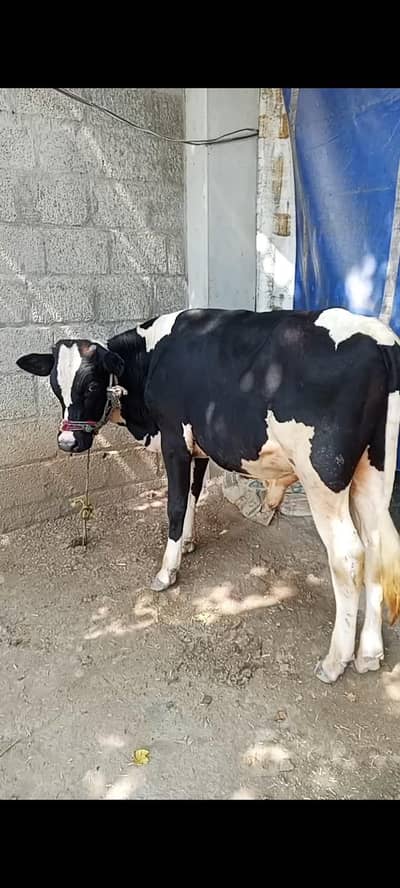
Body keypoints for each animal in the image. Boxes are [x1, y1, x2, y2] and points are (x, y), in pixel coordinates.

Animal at [16, 306, 400, 684]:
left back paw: (335, 661)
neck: (151, 360)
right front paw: (187, 542)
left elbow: (174, 504)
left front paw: (166, 572)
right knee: (376, 546)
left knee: (348, 556)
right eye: (55, 387)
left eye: (93, 384)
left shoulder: (174, 438)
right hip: (375, 470)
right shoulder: (197, 445)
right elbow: (192, 495)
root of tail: (377, 337)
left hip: (322, 477)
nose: (68, 442)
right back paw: (369, 653)